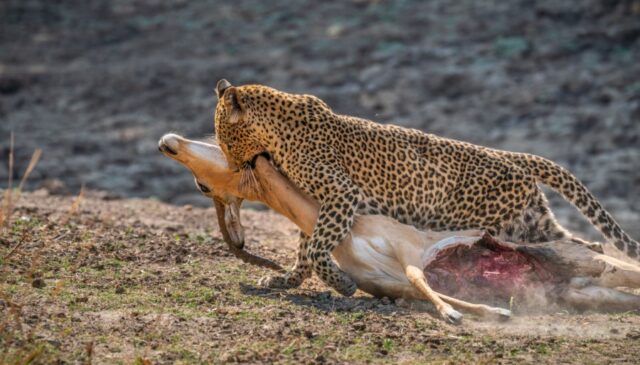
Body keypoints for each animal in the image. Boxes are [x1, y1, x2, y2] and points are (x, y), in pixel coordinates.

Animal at [212, 79, 636, 296]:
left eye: (224, 139)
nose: (230, 167)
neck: (276, 127)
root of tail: (516, 158)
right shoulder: (319, 201)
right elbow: (306, 248)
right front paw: (286, 280)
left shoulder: (340, 194)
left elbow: (316, 248)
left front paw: (342, 284)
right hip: (526, 222)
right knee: (574, 243)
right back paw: (591, 261)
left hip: (490, 223)